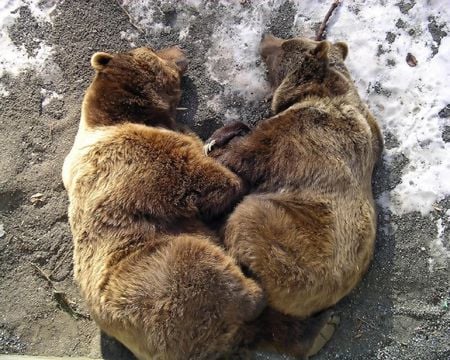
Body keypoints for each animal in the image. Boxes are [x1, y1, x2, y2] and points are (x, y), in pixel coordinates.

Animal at [60, 45, 268, 360]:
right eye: (151, 49)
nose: (180, 49)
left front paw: (225, 133)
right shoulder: (143, 158)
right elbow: (214, 182)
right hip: (158, 277)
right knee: (200, 264)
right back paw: (254, 288)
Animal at [204, 34, 384, 320]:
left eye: (284, 45)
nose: (265, 37)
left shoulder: (294, 135)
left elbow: (243, 155)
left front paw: (219, 142)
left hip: (288, 237)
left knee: (248, 219)